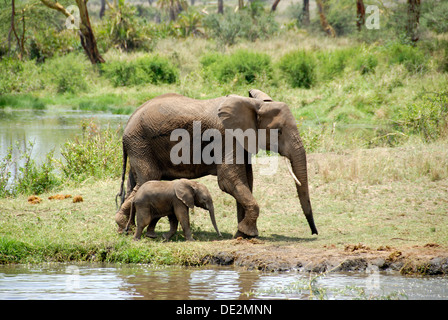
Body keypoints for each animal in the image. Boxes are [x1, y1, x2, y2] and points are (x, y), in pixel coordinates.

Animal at [115, 89, 318, 239]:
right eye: (279, 131)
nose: (314, 233)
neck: (253, 105)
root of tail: (128, 122)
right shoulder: (226, 136)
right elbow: (229, 180)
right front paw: (248, 233)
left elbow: (247, 180)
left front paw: (242, 235)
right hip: (140, 143)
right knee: (147, 179)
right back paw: (123, 227)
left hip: (139, 146)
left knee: (135, 183)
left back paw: (128, 229)